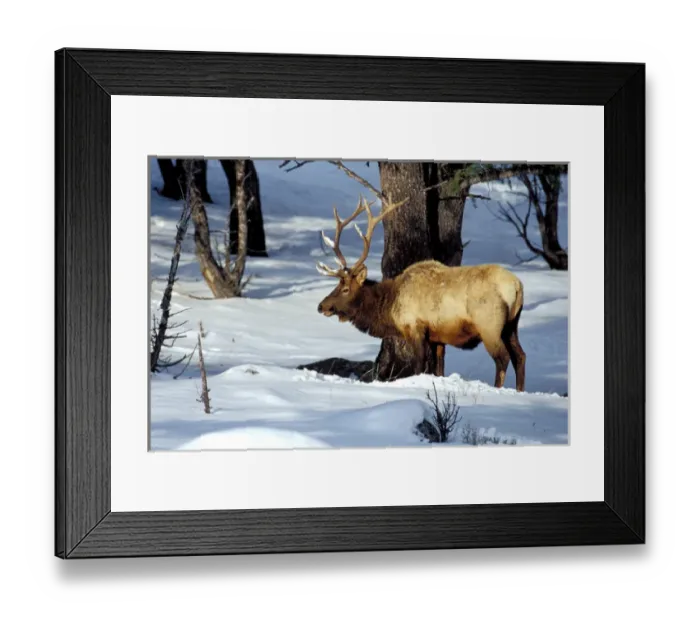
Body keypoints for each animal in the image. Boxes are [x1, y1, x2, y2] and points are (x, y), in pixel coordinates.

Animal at [315, 196, 527, 392]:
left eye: (345, 289)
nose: (321, 305)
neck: (390, 308)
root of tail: (517, 286)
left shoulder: (415, 327)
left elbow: (418, 366)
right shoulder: (438, 337)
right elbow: (439, 369)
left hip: (489, 325)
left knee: (502, 358)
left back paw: (498, 389)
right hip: (511, 325)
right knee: (520, 356)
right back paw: (519, 390)